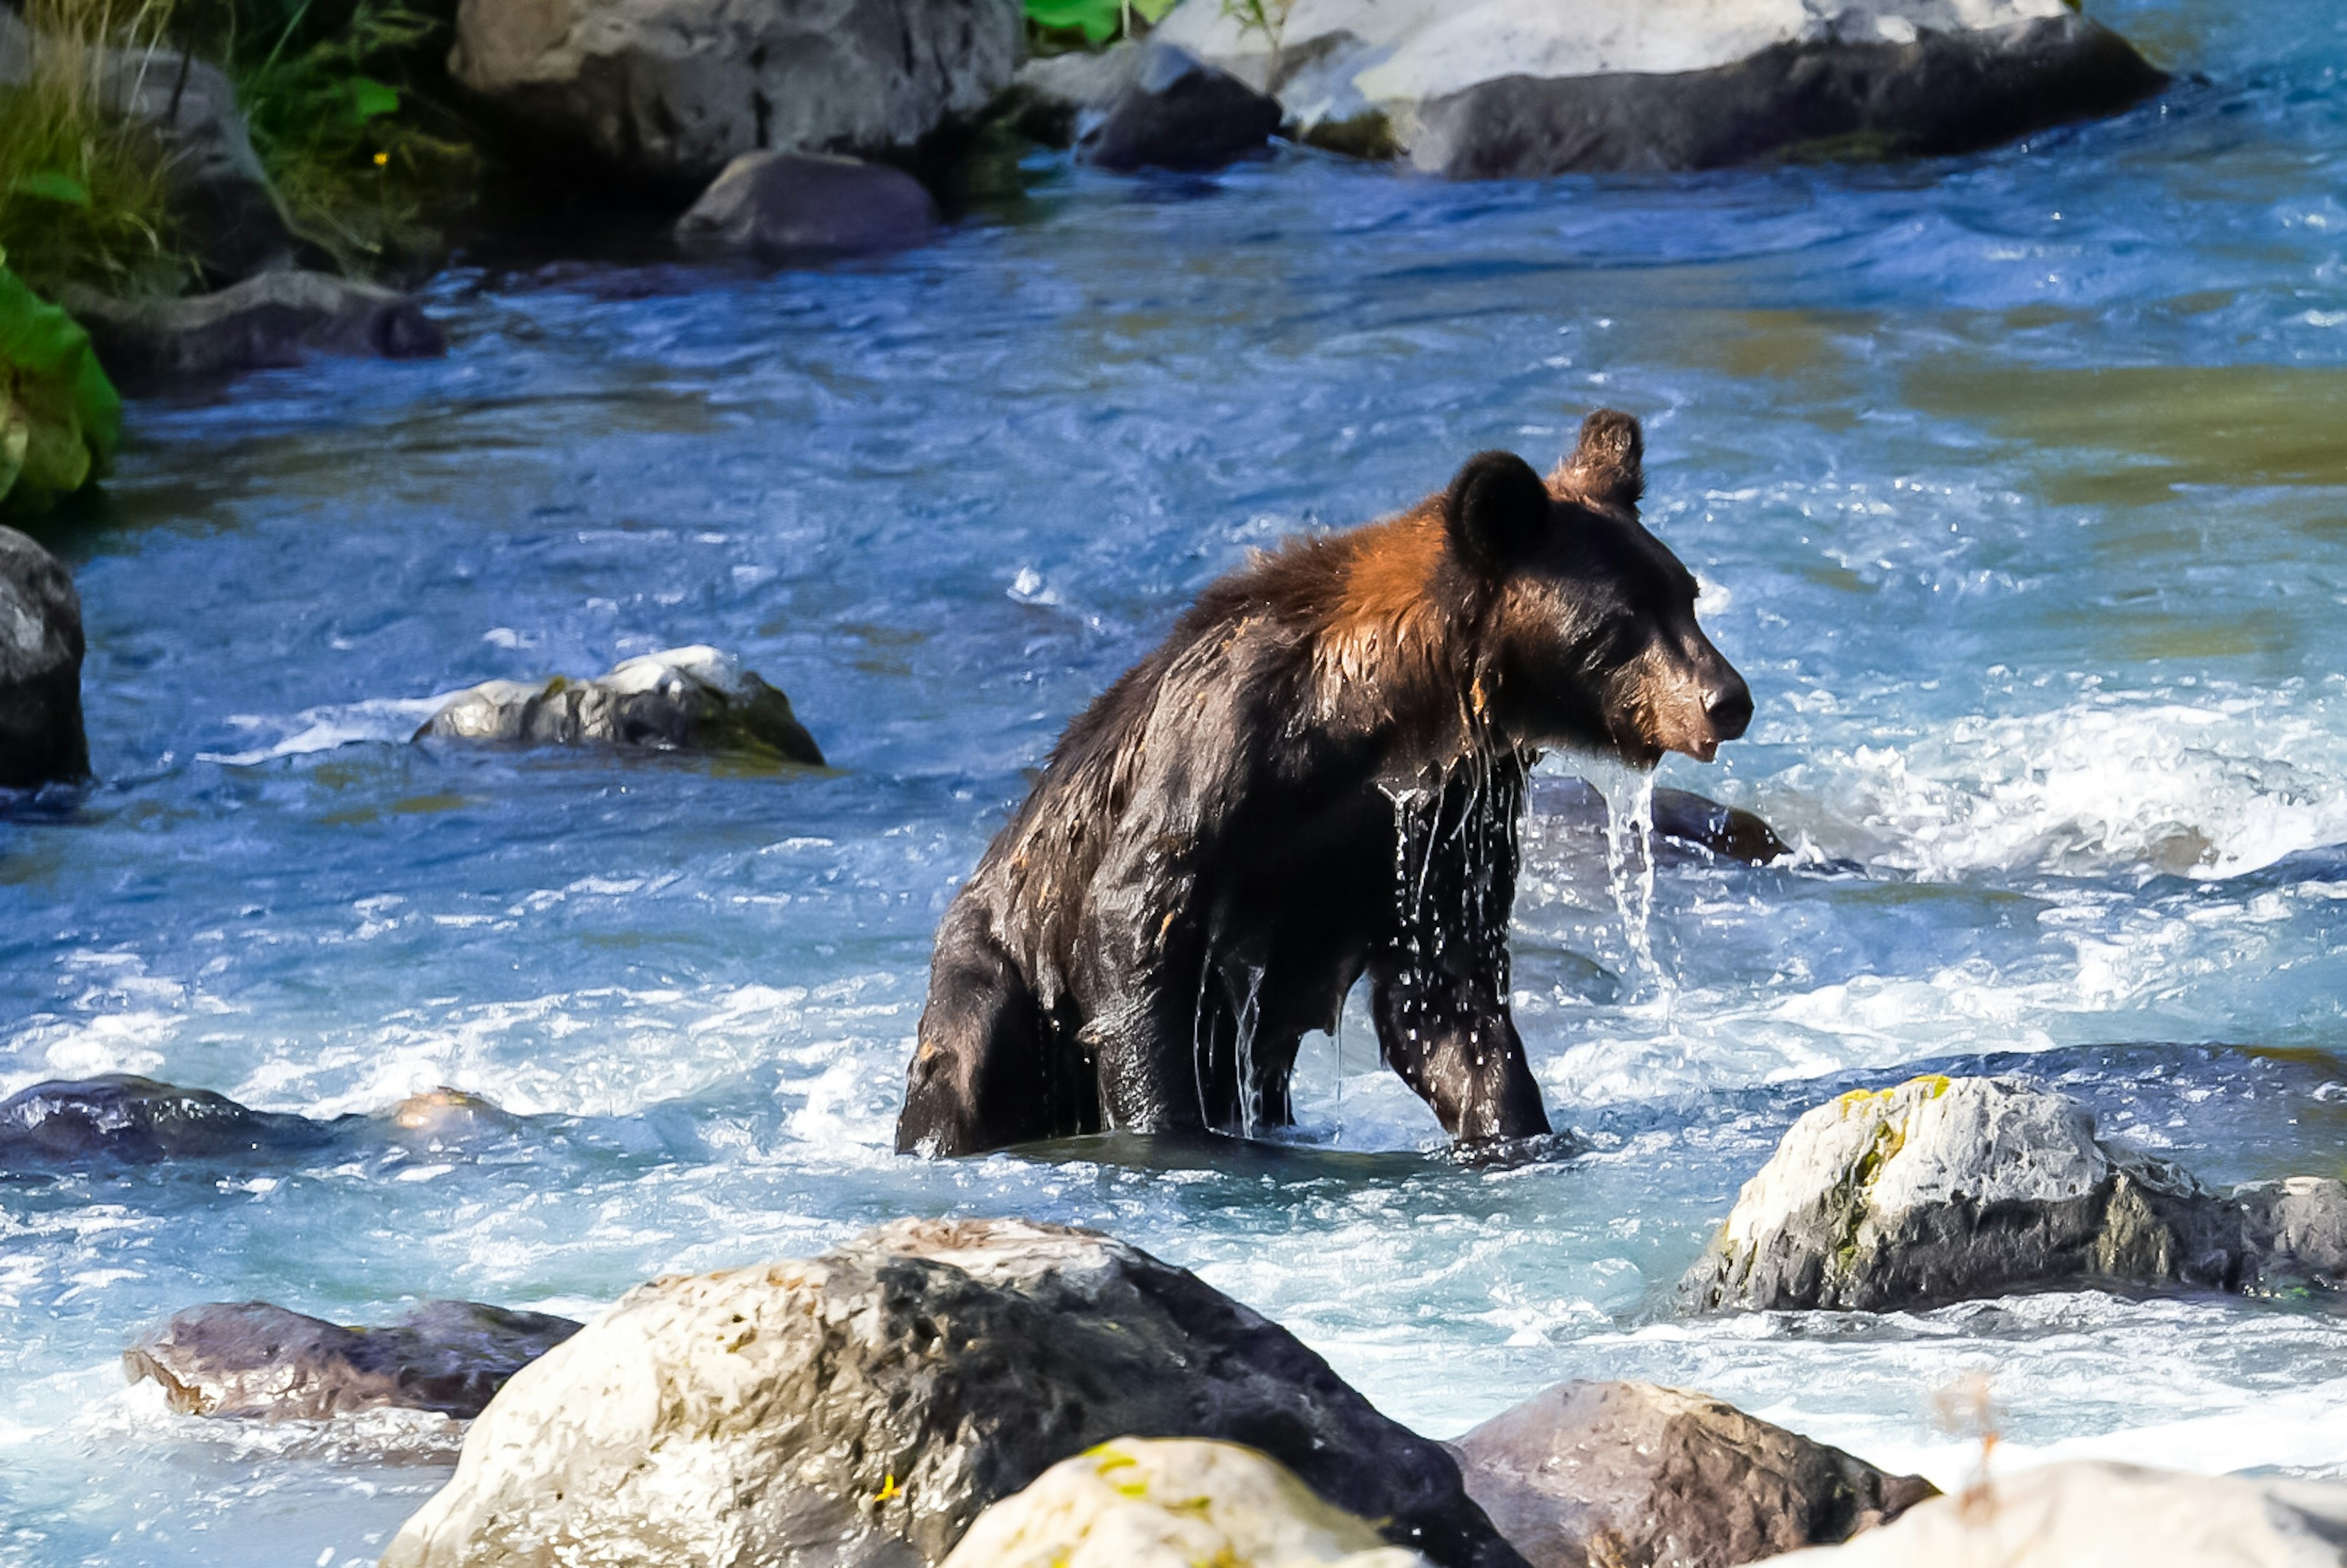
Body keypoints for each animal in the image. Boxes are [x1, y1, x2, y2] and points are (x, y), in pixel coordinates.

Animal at [892, 411, 1746, 1159]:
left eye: (1686, 593)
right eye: (1619, 621)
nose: (1728, 699)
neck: (1384, 722)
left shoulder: (1441, 816)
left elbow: (1447, 994)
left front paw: (1513, 1126)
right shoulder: (1219, 752)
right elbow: (1136, 929)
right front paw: (1169, 1131)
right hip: (996, 966)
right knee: (968, 1062)